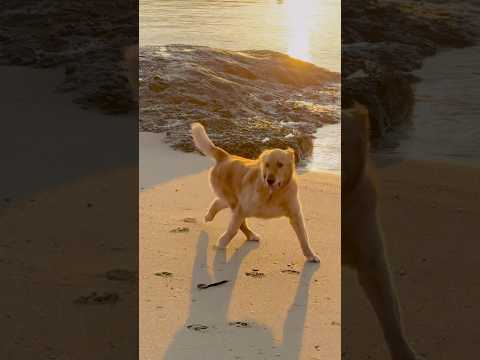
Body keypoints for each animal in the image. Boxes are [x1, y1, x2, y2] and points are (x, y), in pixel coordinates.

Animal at [190, 123, 318, 262]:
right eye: (267, 164)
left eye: (280, 164)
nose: (269, 180)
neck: (274, 194)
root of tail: (226, 156)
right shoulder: (242, 208)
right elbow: (233, 229)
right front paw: (222, 242)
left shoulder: (296, 216)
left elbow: (304, 237)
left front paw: (311, 254)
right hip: (235, 201)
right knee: (237, 219)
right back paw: (247, 234)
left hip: (233, 200)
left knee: (218, 202)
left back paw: (210, 216)